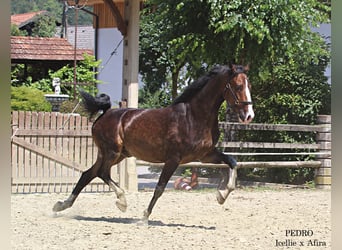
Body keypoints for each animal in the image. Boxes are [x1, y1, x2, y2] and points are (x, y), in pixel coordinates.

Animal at [52, 64, 252, 223]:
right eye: (238, 85)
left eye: (249, 85)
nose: (249, 116)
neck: (194, 116)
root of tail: (105, 113)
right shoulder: (173, 159)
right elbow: (160, 188)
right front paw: (144, 218)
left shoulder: (205, 155)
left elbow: (233, 162)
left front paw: (221, 196)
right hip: (112, 152)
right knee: (102, 173)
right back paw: (122, 201)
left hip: (115, 154)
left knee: (88, 174)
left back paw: (61, 206)